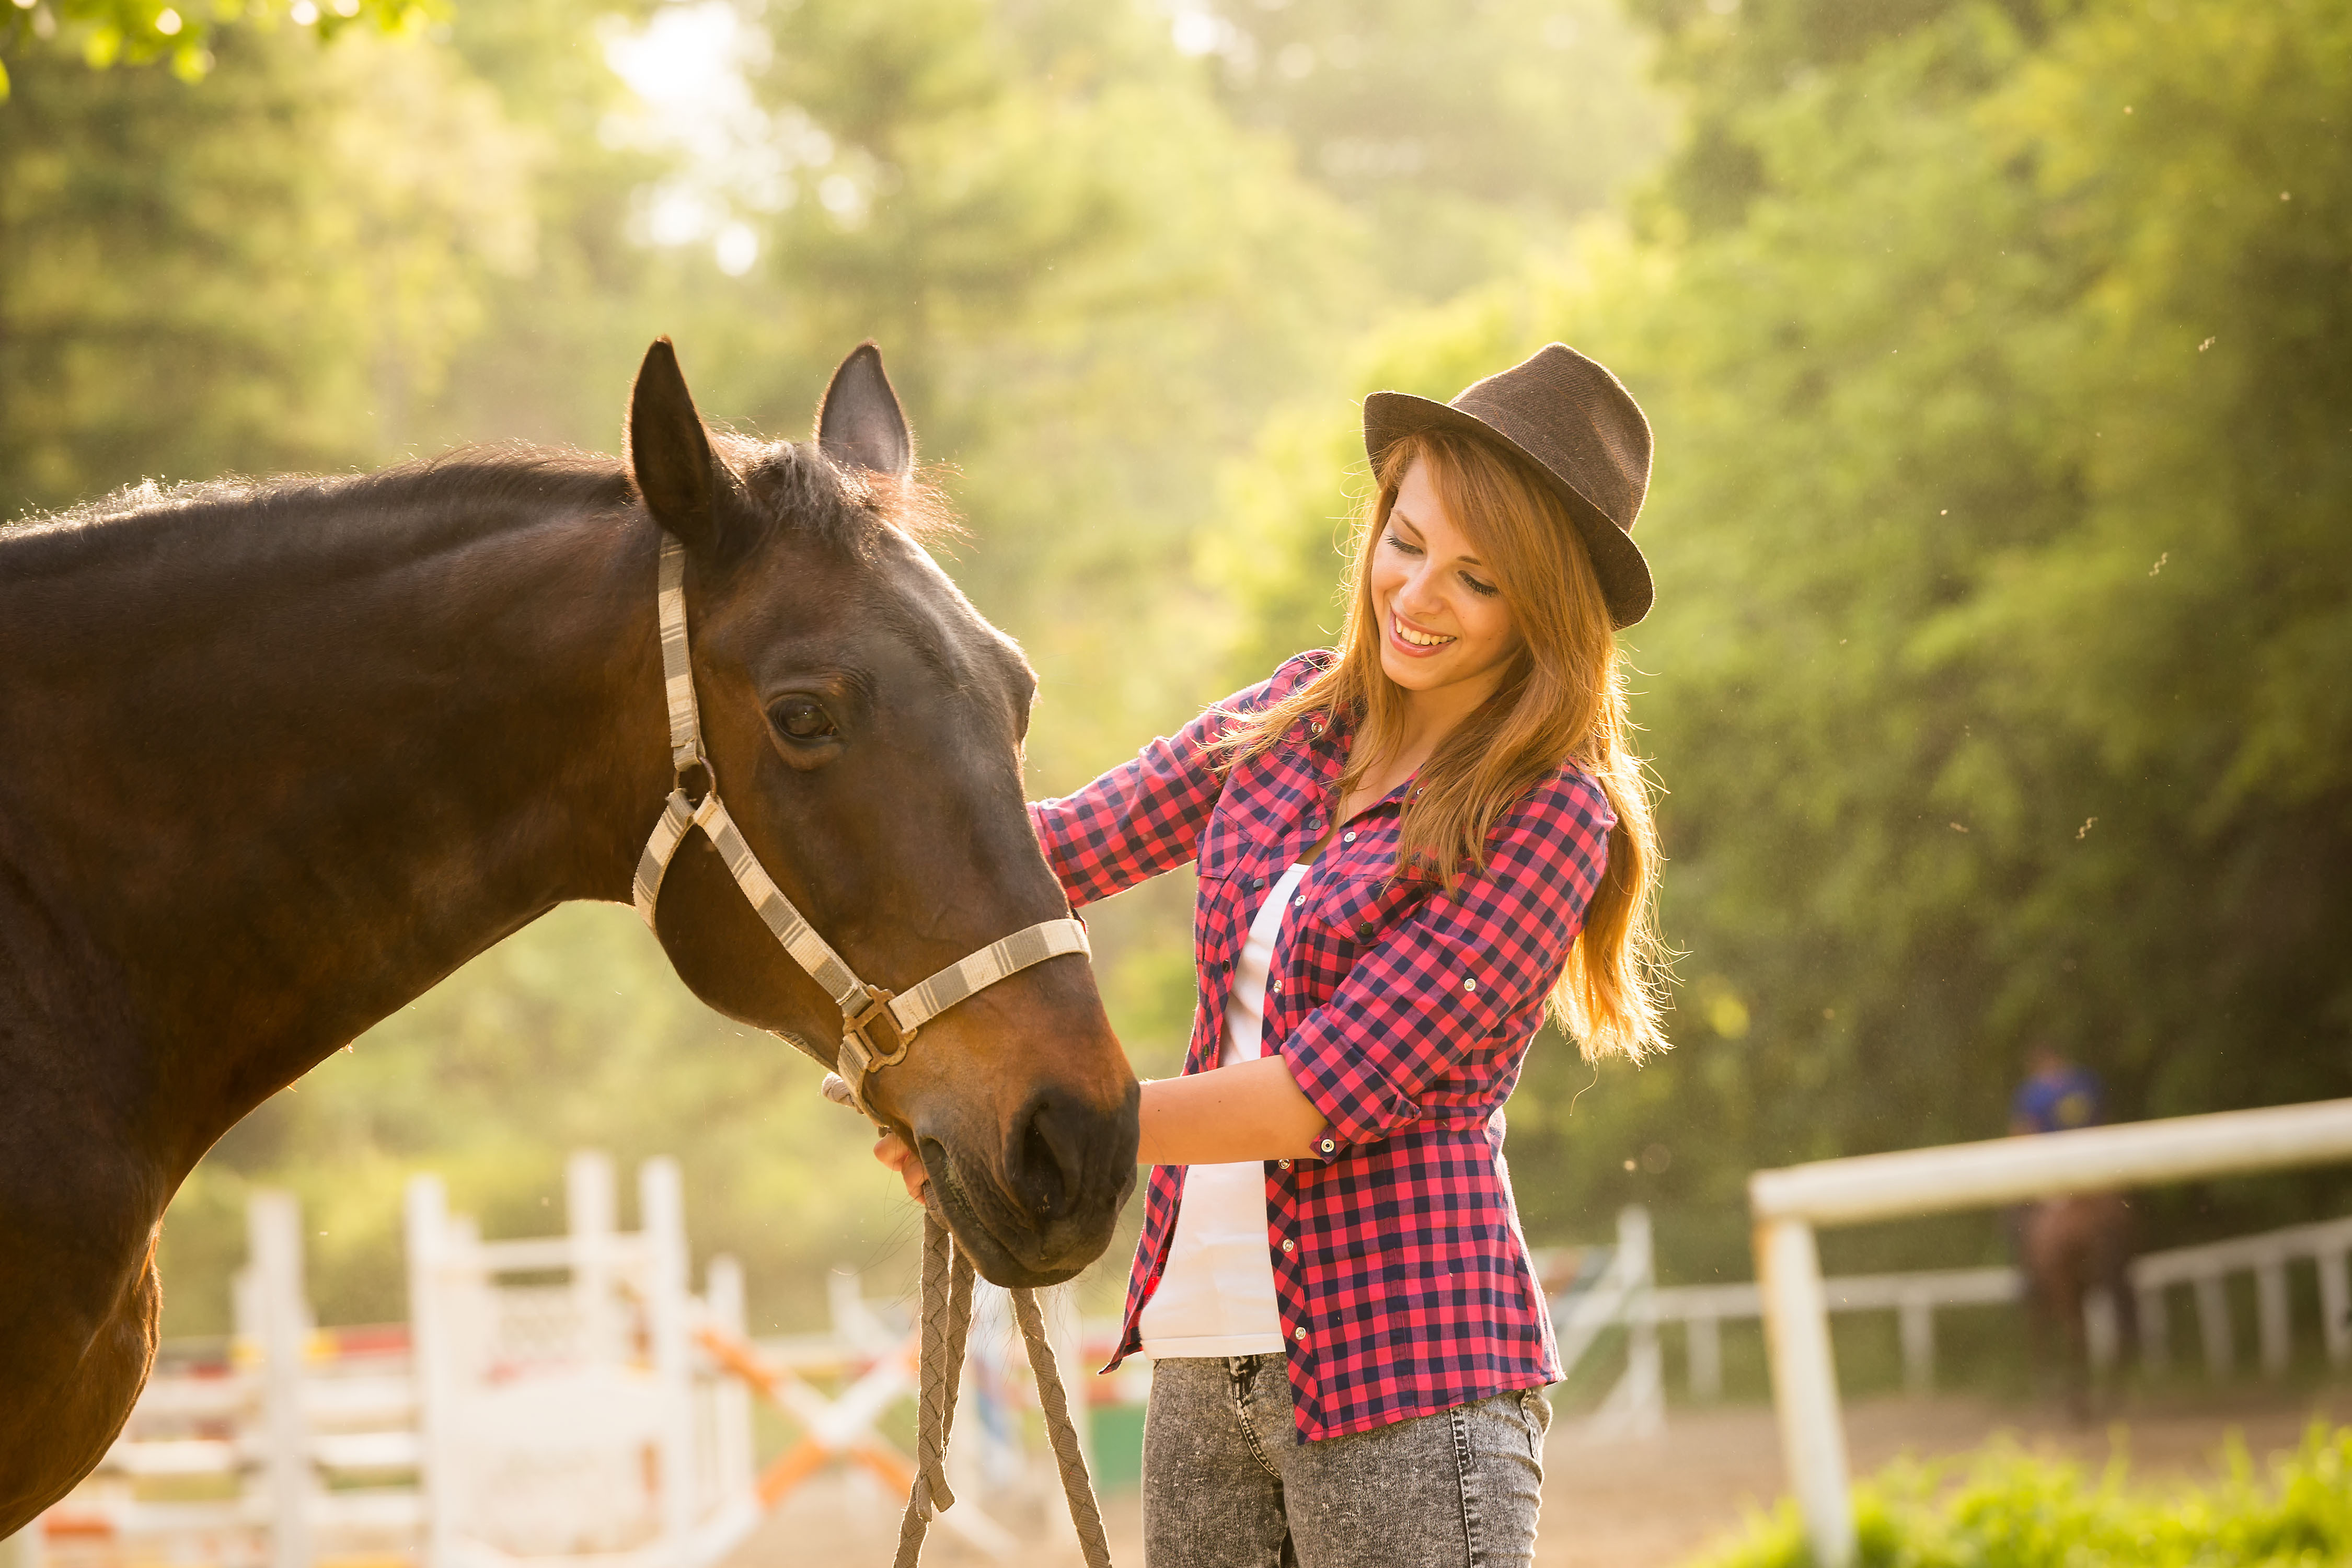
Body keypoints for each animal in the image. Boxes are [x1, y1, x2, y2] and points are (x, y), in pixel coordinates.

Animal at [2019, 1191, 2138, 1419]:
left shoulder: (2052, 1294)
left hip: (2067, 1289)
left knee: (2073, 1333)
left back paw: (2078, 1405)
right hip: (2118, 1277)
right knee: (2125, 1327)